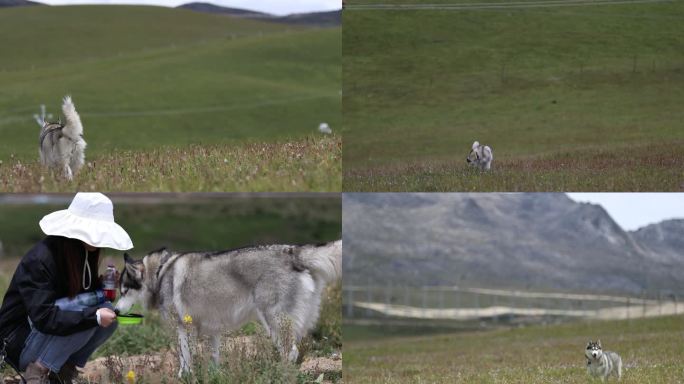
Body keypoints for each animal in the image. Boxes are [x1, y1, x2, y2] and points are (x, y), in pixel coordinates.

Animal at [117, 240, 344, 376]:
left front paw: (184, 377)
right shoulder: (213, 332)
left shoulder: (184, 328)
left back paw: (279, 374)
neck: (160, 272)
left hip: (274, 322)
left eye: (124, 291)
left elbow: (185, 359)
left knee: (291, 353)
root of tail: (292, 251)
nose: (116, 311)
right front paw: (215, 375)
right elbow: (214, 357)